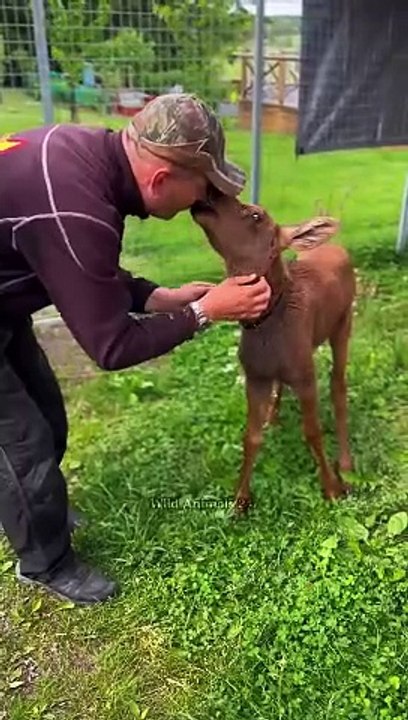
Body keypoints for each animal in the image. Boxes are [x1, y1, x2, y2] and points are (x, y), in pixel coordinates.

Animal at [191, 196, 356, 511]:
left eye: (256, 215)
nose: (207, 198)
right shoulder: (255, 376)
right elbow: (251, 437)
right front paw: (240, 499)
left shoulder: (305, 376)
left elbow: (312, 431)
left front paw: (332, 488)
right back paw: (273, 414)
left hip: (343, 323)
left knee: (338, 385)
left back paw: (345, 462)